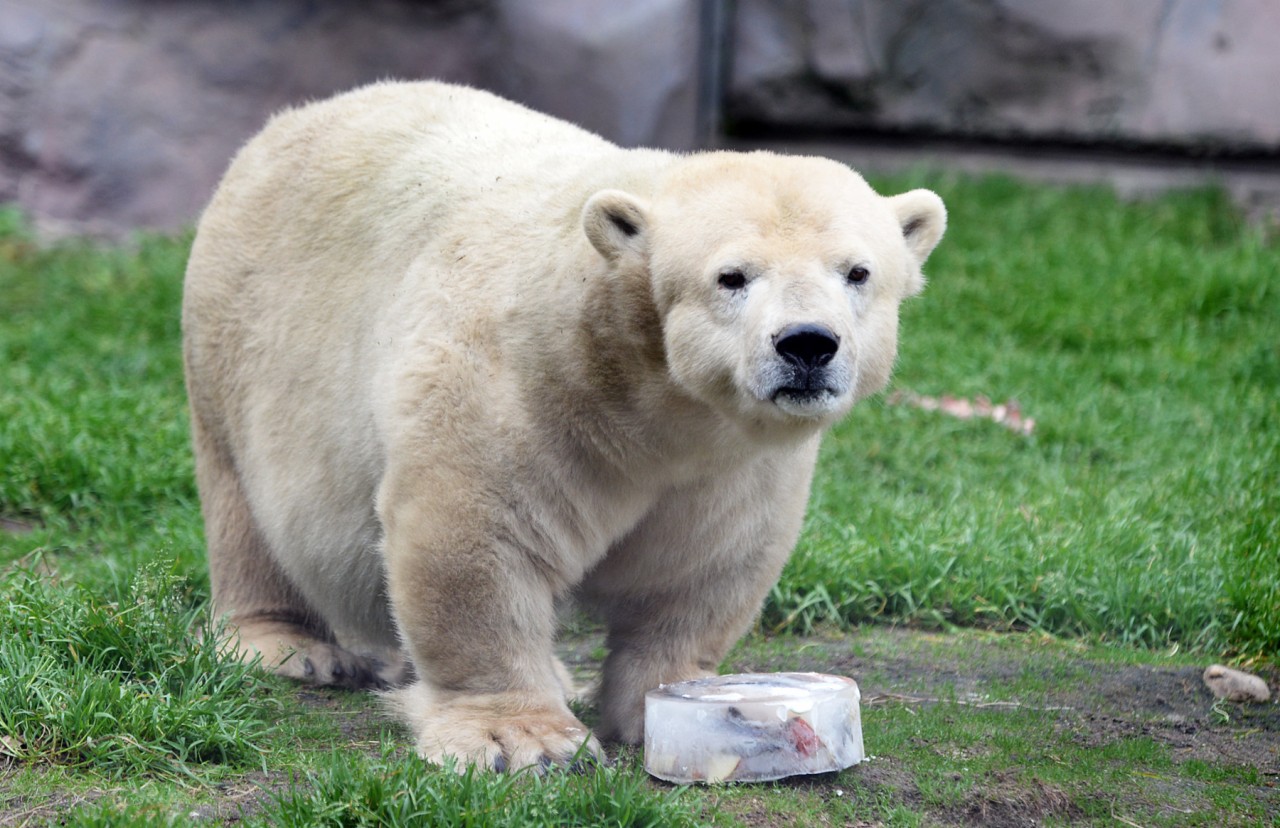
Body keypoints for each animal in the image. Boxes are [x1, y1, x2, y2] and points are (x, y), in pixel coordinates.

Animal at [183, 80, 942, 772]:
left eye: (858, 272)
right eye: (731, 276)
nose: (808, 344)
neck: (644, 390)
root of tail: (295, 119)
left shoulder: (730, 464)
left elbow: (704, 565)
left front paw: (676, 704)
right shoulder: (524, 388)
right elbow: (478, 538)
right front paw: (522, 740)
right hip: (240, 337)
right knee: (246, 501)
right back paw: (290, 647)